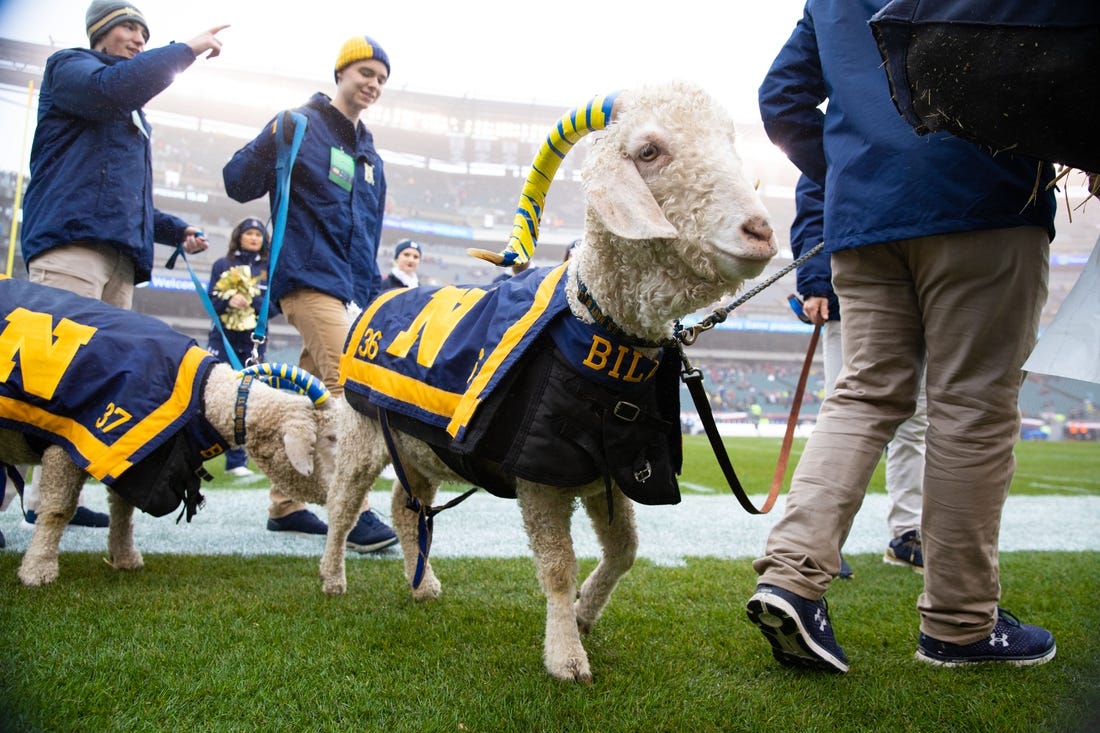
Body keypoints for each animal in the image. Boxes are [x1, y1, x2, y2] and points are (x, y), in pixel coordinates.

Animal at [314, 82, 778, 682]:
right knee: (344, 505)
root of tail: (368, 306)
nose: (760, 232)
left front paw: (584, 614)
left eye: (728, 140)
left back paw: (425, 586)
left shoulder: (609, 470)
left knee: (403, 505)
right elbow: (558, 566)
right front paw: (566, 657)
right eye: (649, 151)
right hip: (361, 433)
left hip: (418, 449)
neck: (592, 330)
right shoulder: (540, 477)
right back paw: (332, 579)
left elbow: (625, 550)